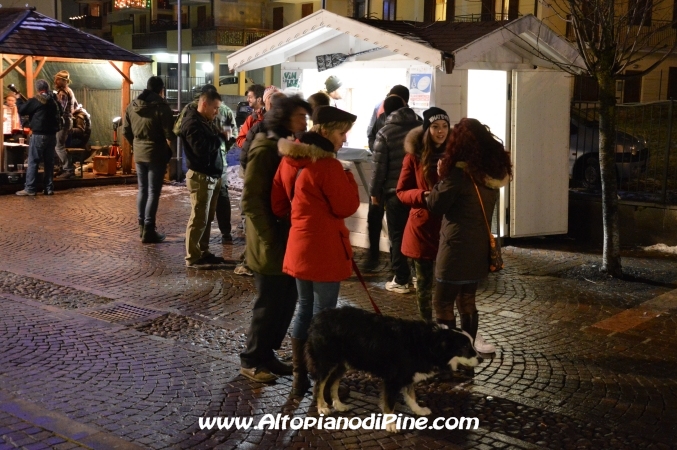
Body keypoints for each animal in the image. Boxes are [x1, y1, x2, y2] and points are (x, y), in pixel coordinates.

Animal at [304, 306, 478, 428]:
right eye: (464, 347)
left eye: (472, 344)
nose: (481, 358)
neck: (427, 343)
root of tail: (317, 317)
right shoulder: (393, 379)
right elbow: (390, 404)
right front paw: (390, 425)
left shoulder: (408, 375)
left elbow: (411, 395)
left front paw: (418, 410)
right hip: (326, 362)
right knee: (319, 385)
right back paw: (322, 407)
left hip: (343, 363)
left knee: (333, 383)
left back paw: (338, 404)